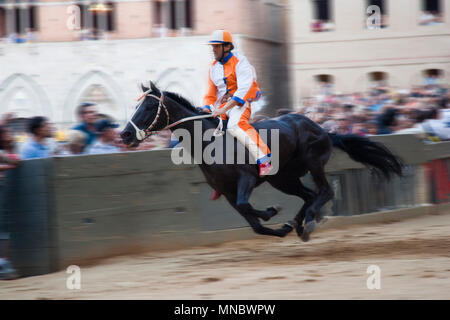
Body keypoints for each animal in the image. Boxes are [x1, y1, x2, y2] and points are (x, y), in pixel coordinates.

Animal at [120, 81, 404, 241]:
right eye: (137, 107)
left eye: (148, 107)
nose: (124, 134)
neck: (210, 142)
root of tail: (324, 129)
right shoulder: (226, 191)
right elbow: (254, 223)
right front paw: (280, 225)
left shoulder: (246, 179)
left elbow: (248, 206)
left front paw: (273, 211)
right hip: (283, 178)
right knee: (309, 195)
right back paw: (297, 223)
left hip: (313, 163)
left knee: (324, 191)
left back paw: (309, 221)